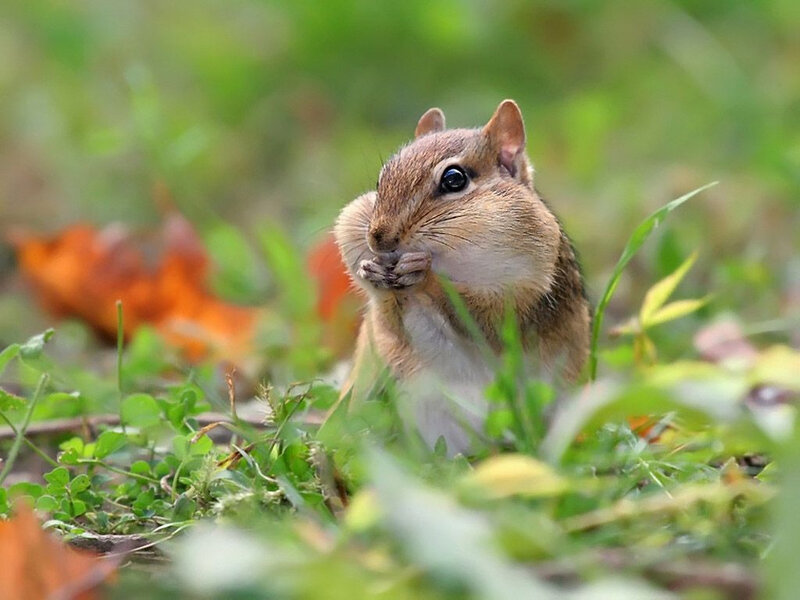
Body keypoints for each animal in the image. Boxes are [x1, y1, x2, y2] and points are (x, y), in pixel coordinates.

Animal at [333, 99, 591, 454]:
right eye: (381, 180)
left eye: (454, 179)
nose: (379, 240)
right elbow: (390, 323)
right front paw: (371, 273)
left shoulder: (528, 291)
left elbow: (488, 319)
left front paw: (424, 273)